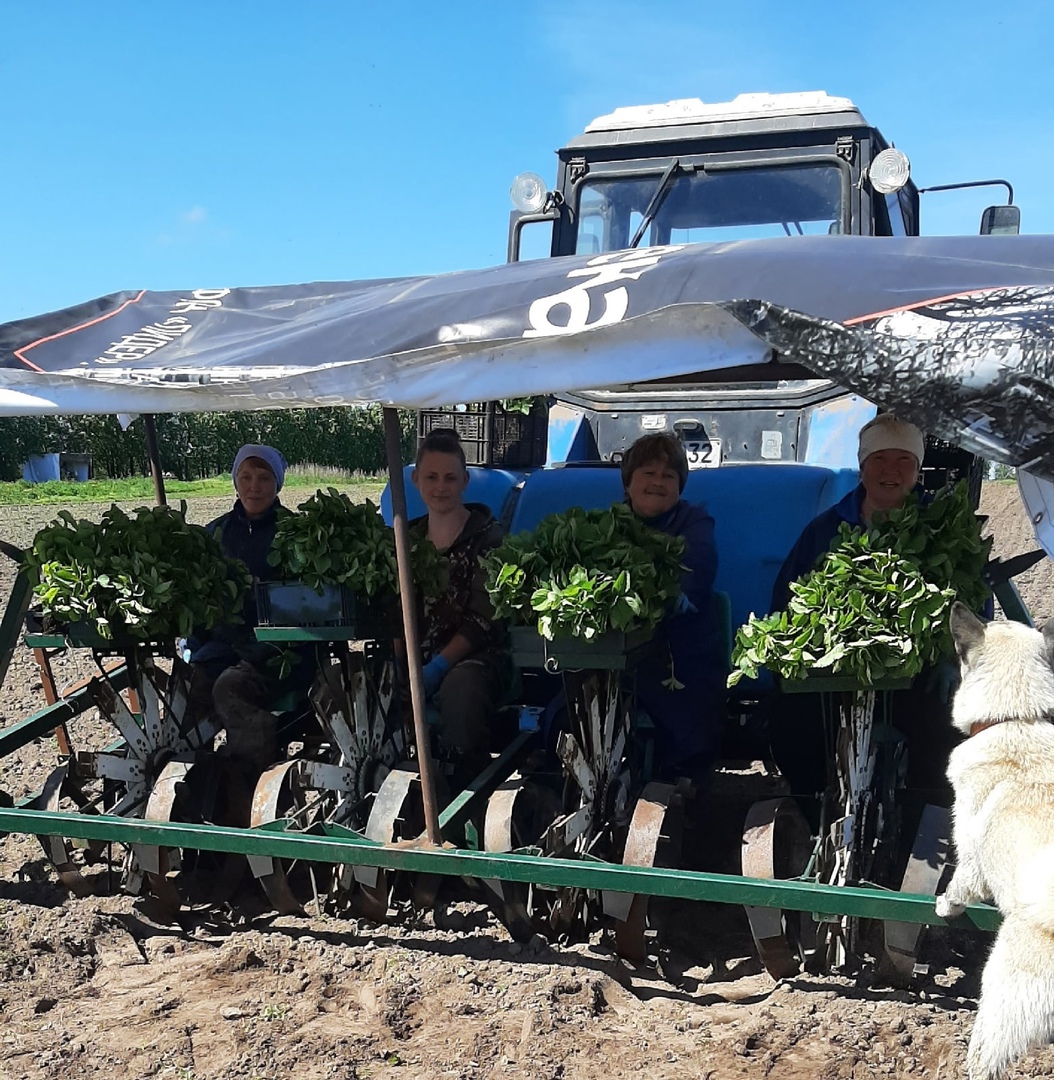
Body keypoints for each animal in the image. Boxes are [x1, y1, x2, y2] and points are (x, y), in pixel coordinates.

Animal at [933, 604, 1054, 1075]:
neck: (1017, 718)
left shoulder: (969, 857)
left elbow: (958, 887)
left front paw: (944, 906)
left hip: (1001, 990)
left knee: (985, 1058)